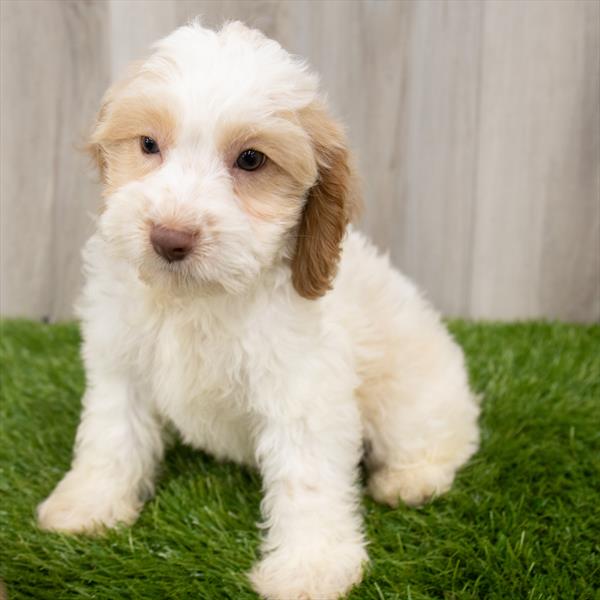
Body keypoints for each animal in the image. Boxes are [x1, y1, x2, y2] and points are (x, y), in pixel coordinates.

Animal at [37, 19, 478, 600]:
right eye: (149, 144)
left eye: (251, 160)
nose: (169, 238)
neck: (197, 298)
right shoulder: (120, 362)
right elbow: (111, 434)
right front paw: (87, 505)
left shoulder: (303, 391)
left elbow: (307, 479)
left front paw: (310, 568)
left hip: (412, 395)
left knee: (443, 437)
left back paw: (410, 480)